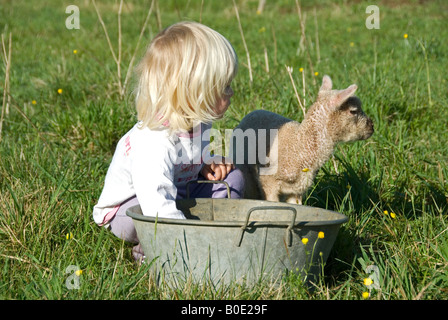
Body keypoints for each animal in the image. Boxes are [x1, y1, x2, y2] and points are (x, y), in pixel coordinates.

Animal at [231, 75, 374, 204]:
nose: (372, 126)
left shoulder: (296, 191)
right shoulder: (268, 183)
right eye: (353, 111)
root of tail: (252, 113)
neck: (300, 144)